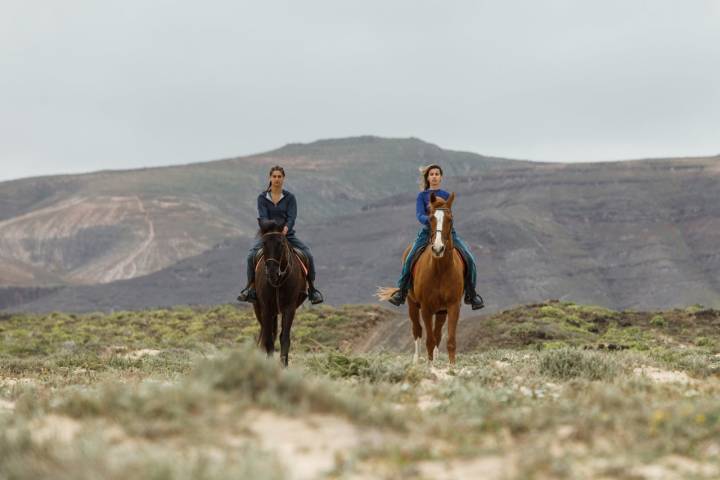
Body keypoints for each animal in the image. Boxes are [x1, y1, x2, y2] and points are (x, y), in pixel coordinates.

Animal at [253, 219, 306, 366]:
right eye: (264, 243)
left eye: (281, 244)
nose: (272, 272)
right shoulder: (266, 308)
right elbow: (268, 340)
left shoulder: (289, 308)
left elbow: (284, 338)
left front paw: (284, 365)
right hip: (259, 308)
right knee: (264, 334)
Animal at [380, 193, 464, 366]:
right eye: (430, 218)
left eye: (450, 219)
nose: (438, 249)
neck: (440, 270)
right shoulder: (426, 308)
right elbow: (429, 340)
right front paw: (430, 367)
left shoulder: (453, 306)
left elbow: (449, 340)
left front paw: (451, 367)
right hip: (412, 305)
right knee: (417, 330)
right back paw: (416, 360)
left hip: (441, 311)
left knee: (438, 333)